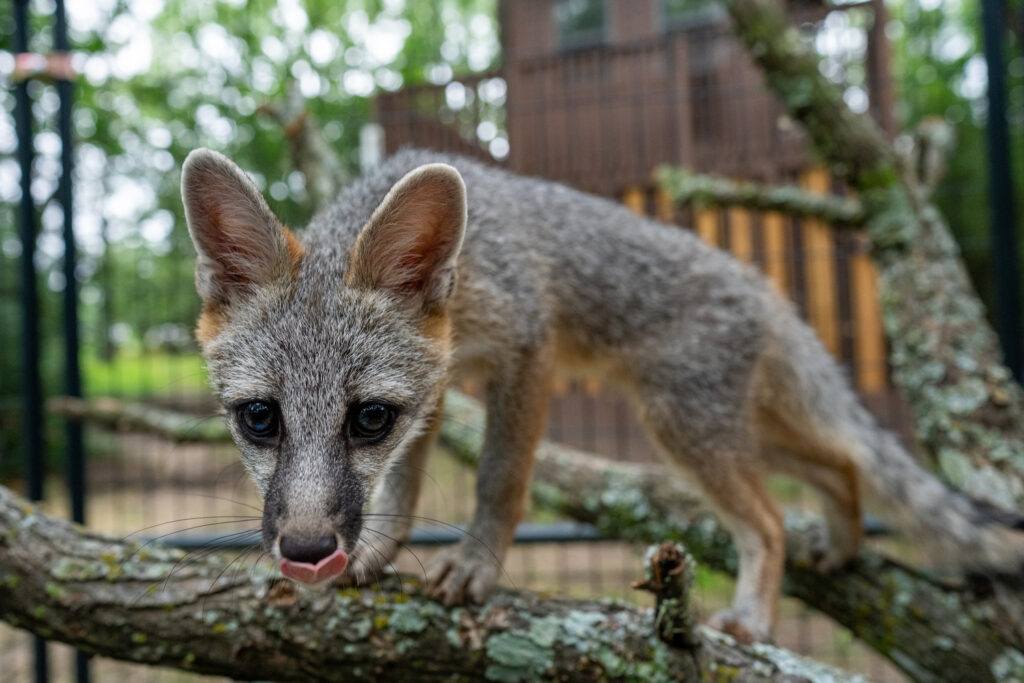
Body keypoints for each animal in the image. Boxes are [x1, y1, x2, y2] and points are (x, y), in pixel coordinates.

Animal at [182, 147, 1024, 643]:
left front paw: (477, 564)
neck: (468, 269)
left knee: (773, 519)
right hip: (723, 428)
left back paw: (756, 612)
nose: (307, 551)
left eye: (367, 419)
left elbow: (499, 479)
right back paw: (843, 543)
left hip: (683, 429)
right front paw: (382, 548)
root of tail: (762, 284)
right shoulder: (438, 384)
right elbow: (406, 482)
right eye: (259, 418)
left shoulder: (527, 351)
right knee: (844, 463)